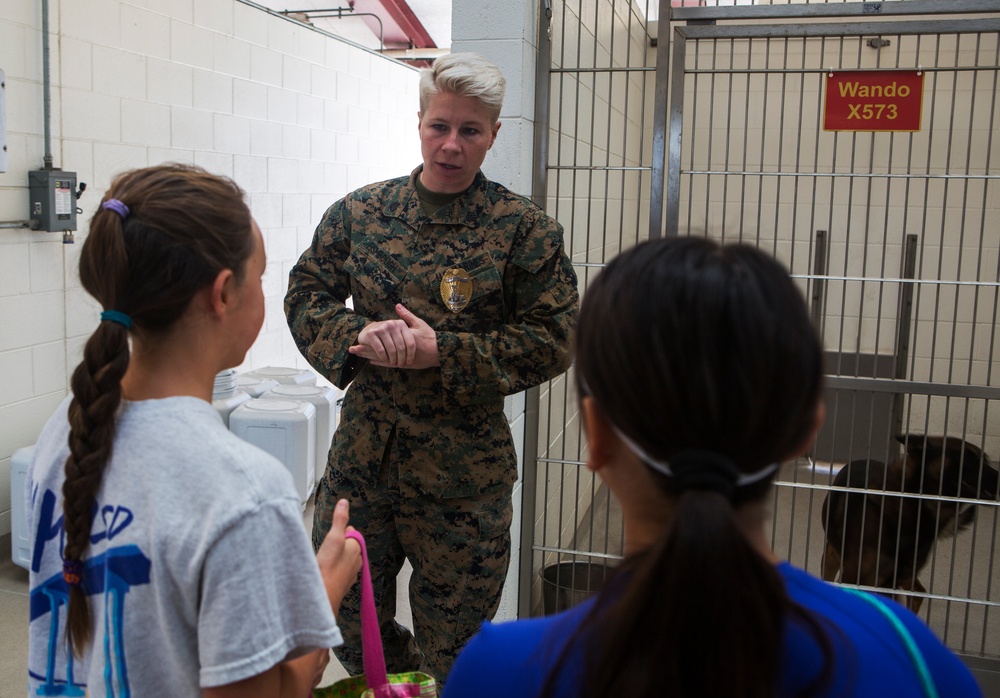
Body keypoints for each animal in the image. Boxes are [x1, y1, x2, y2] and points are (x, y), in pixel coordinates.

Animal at [820, 432, 1000, 612]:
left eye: (985, 459)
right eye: (967, 457)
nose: (999, 478)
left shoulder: (890, 583)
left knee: (918, 593)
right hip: (832, 559)